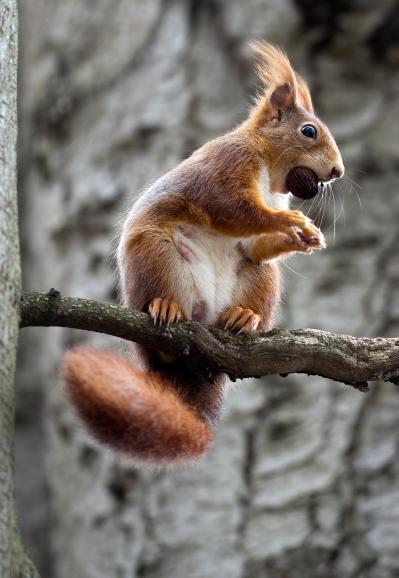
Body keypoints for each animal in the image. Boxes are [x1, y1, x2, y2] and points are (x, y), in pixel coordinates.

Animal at [64, 42, 346, 464]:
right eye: (308, 130)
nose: (339, 171)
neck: (267, 168)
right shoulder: (226, 168)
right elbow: (234, 211)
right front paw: (291, 220)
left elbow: (255, 242)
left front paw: (304, 238)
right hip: (156, 254)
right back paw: (165, 307)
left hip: (258, 277)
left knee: (254, 279)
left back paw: (244, 317)